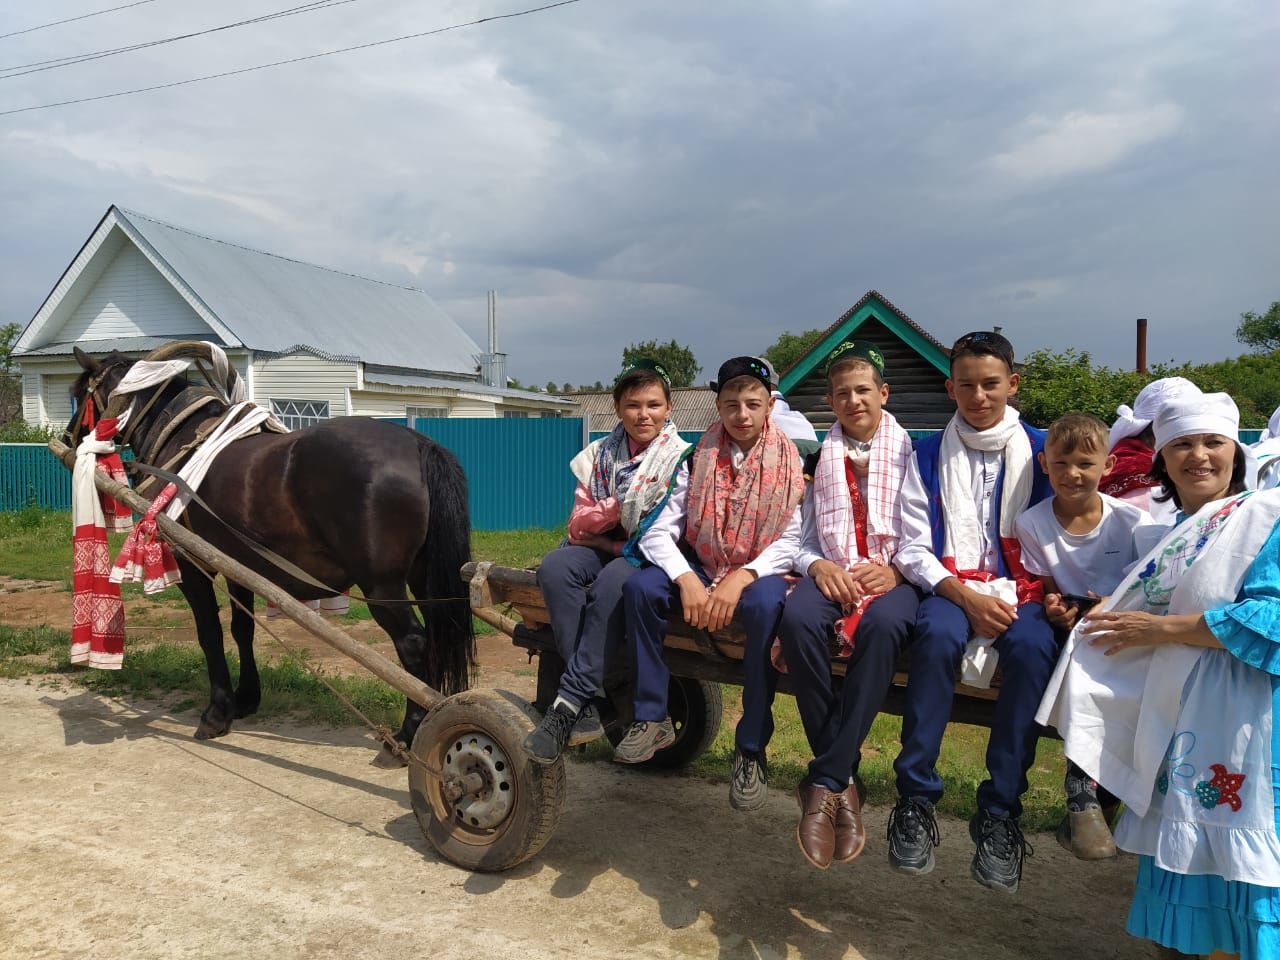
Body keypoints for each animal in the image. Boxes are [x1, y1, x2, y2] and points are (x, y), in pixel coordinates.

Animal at [66, 345, 476, 768]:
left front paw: (217, 712)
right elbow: (241, 629)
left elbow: (209, 633)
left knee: (413, 643)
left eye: (79, 393)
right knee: (438, 631)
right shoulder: (237, 567)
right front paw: (246, 698)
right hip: (422, 576)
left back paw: (408, 735)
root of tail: (418, 444)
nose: (68, 437)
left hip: (382, 586)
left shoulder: (192, 563)